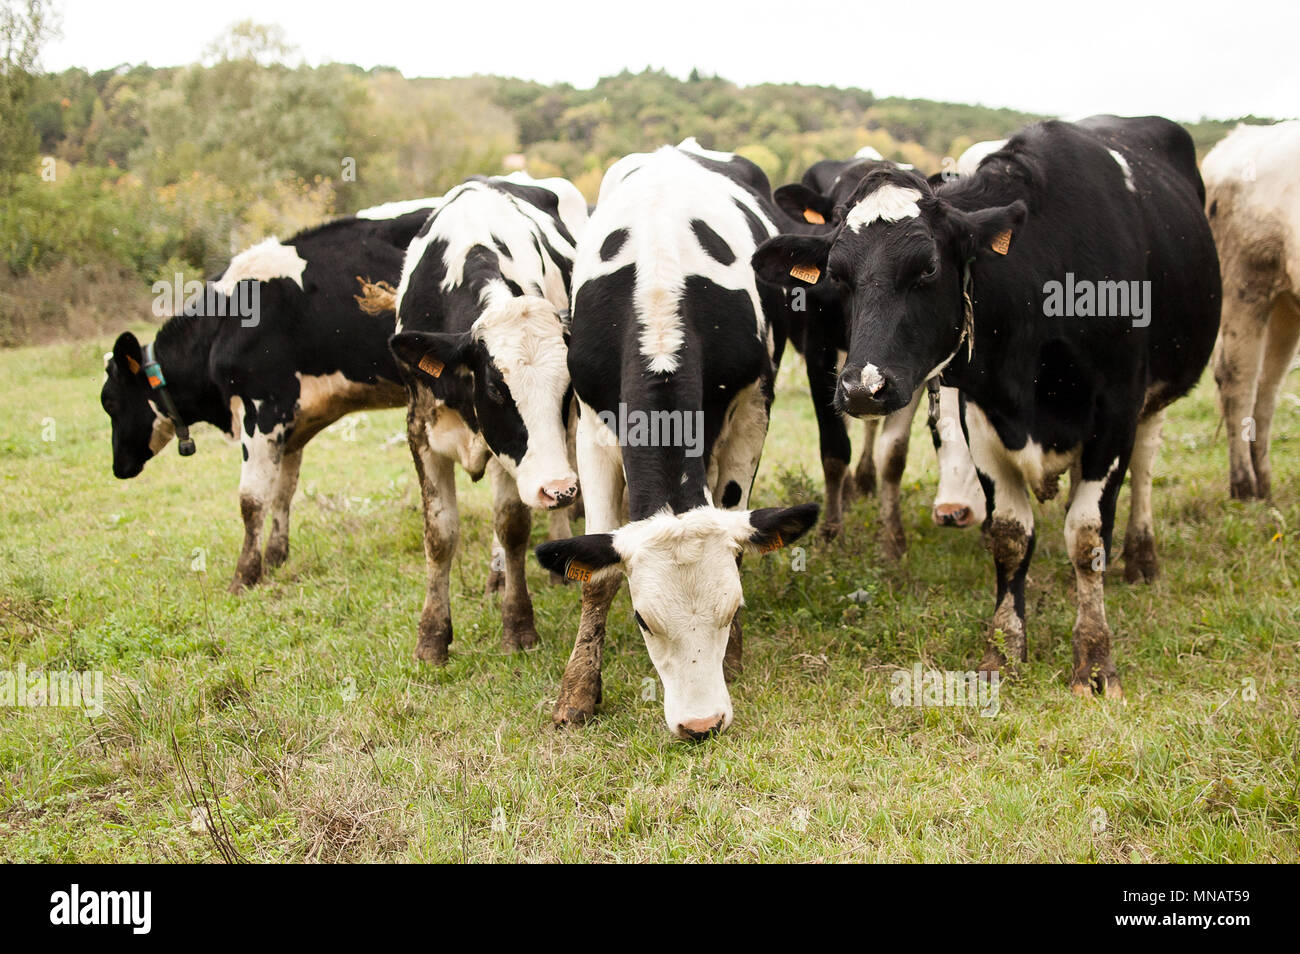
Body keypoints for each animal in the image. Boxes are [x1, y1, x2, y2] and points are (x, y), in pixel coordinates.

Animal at [101, 202, 438, 593]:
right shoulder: (294, 422)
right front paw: (276, 557)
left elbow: (251, 499)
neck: (224, 325)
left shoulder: (263, 411)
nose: (118, 466)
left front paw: (244, 575)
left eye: (110, 403)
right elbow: (282, 491)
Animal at [380, 173, 587, 664]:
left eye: (566, 387)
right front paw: (432, 638)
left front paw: (519, 626)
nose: (558, 488)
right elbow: (440, 534)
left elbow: (512, 528)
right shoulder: (420, 431)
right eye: (496, 389)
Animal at [533, 139, 818, 740]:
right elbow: (598, 575)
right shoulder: (593, 425)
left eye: (731, 608)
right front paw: (578, 692)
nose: (701, 723)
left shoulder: (753, 407)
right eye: (643, 620)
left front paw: (733, 656)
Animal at [772, 155, 986, 552]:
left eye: (926, 267)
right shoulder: (818, 353)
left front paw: (892, 539)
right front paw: (831, 532)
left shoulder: (910, 366)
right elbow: (835, 449)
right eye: (834, 217)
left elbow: (893, 453)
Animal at [1202, 120, 1300, 500]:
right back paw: (1244, 485)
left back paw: (1265, 481)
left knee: (1267, 385)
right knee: (1238, 380)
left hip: (1285, 303)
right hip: (1243, 286)